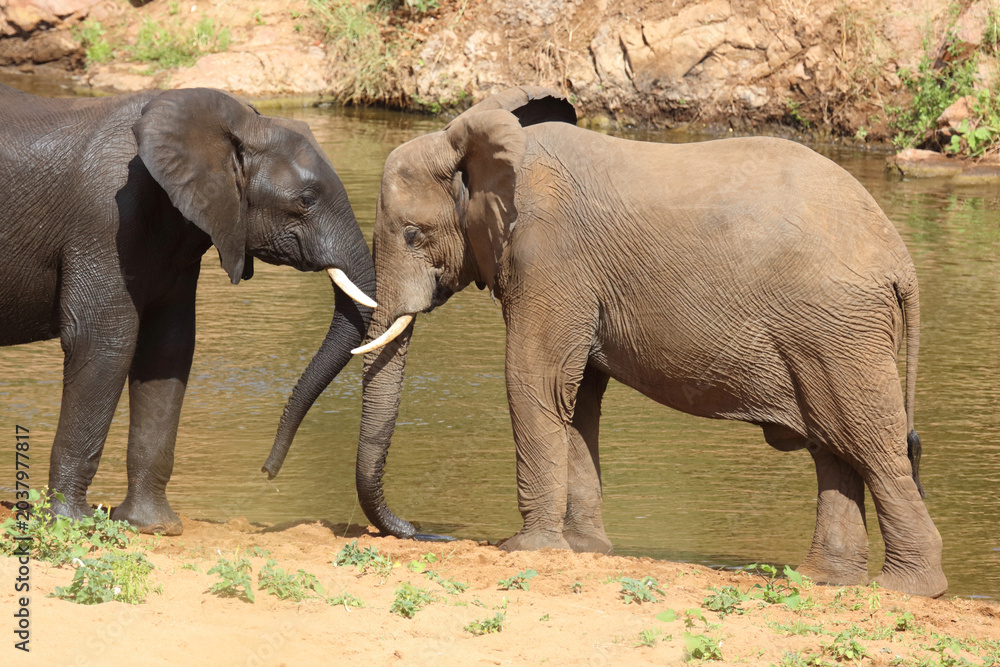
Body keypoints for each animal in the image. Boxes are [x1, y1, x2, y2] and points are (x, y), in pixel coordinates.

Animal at [0, 83, 376, 535]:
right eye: (306, 199)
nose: (267, 471)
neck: (233, 126)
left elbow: (168, 349)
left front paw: (154, 527)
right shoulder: (103, 218)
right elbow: (104, 341)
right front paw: (76, 523)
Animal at [349, 86, 948, 598]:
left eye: (412, 234)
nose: (425, 532)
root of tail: (900, 259)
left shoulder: (548, 255)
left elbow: (536, 378)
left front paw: (526, 548)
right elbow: (579, 397)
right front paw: (585, 550)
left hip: (838, 327)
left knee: (871, 445)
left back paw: (906, 589)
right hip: (831, 332)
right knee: (834, 446)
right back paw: (824, 580)